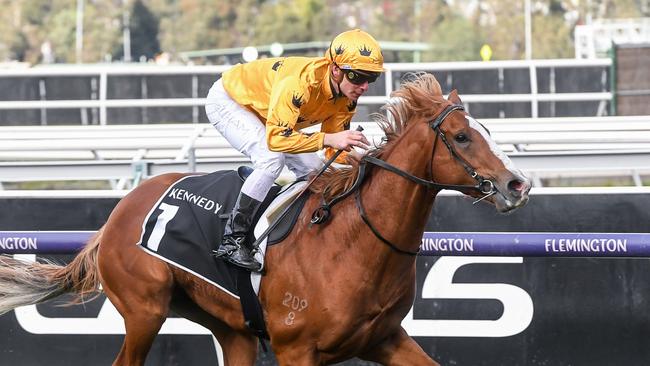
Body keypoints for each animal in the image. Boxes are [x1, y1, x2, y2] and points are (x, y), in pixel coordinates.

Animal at [0, 73, 528, 364]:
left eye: (484, 128)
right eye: (461, 136)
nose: (517, 183)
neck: (354, 241)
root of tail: (117, 215)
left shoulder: (384, 339)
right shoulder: (298, 351)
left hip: (231, 329)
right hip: (144, 312)